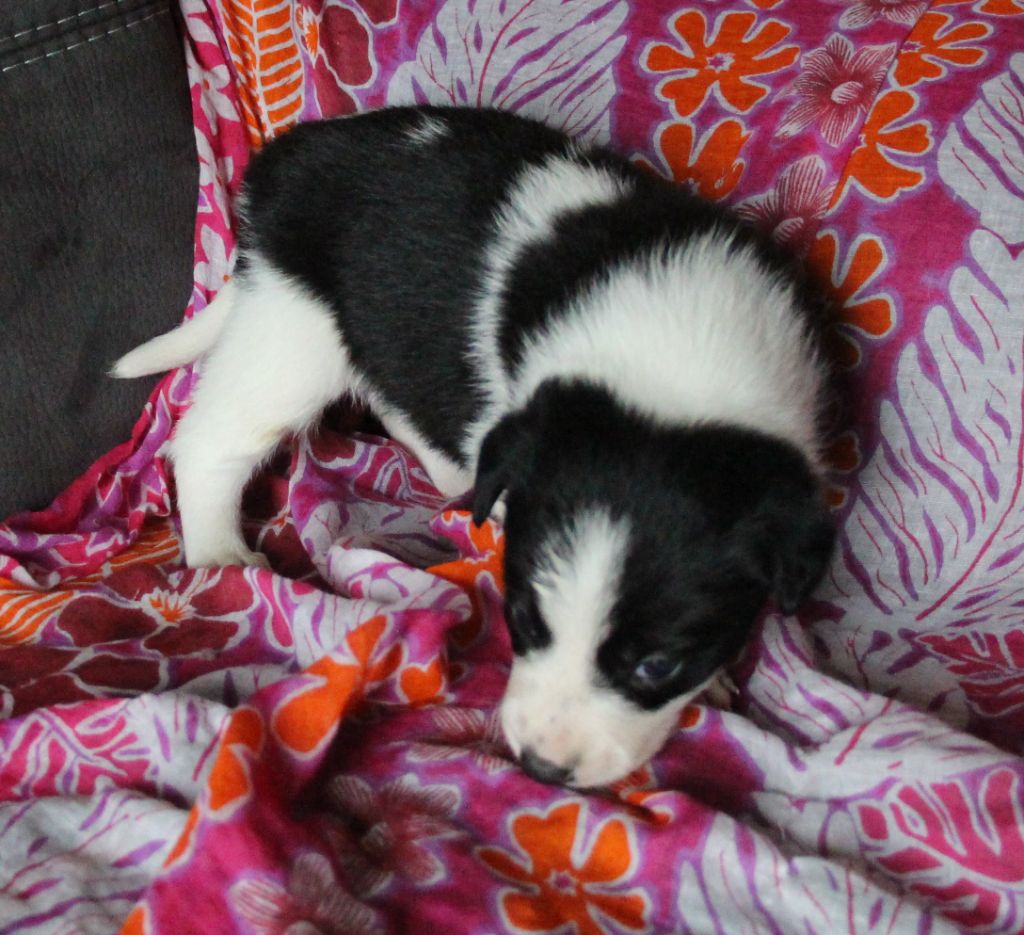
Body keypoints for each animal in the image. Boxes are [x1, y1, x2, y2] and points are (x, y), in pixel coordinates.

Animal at [113, 105, 835, 788]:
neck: (676, 364)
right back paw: (219, 550)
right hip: (295, 330)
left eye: (658, 664)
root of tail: (282, 161)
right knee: (210, 439)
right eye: (522, 619)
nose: (542, 768)